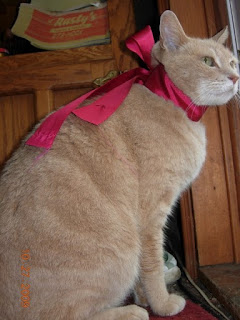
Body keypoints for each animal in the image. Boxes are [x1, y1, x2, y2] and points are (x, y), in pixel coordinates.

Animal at [0, 10, 239, 320]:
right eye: (208, 61)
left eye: (233, 62)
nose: (235, 77)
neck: (170, 101)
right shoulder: (151, 216)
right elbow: (152, 267)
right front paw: (162, 304)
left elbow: (143, 278)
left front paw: (145, 297)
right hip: (121, 250)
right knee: (66, 316)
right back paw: (129, 312)